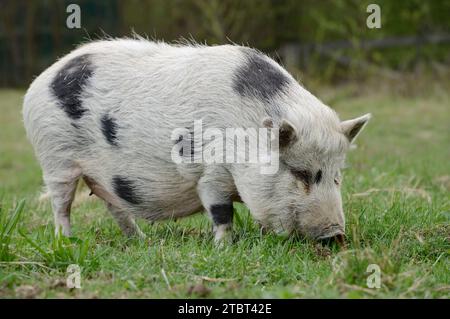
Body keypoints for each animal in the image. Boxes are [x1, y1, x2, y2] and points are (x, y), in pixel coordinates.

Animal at [22, 36, 370, 244]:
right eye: (300, 173)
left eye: (337, 176)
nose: (336, 235)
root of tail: (39, 81)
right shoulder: (211, 172)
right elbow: (220, 210)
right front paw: (224, 247)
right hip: (55, 157)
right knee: (61, 204)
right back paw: (66, 241)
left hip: (101, 175)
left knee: (115, 206)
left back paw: (140, 241)